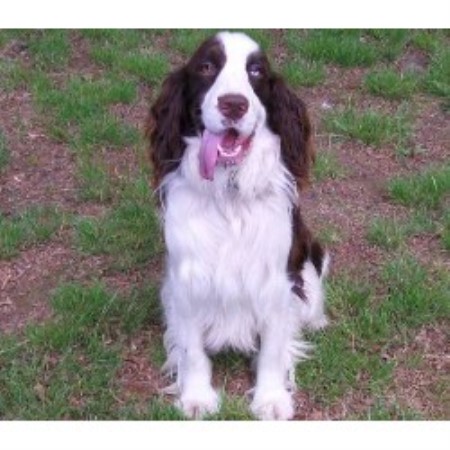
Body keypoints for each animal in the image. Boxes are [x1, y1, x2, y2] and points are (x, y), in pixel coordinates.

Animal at [147, 31, 326, 422]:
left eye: (256, 71)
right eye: (206, 66)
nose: (233, 104)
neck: (228, 194)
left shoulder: (276, 281)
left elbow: (273, 348)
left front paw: (271, 400)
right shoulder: (186, 281)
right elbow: (192, 350)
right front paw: (196, 398)